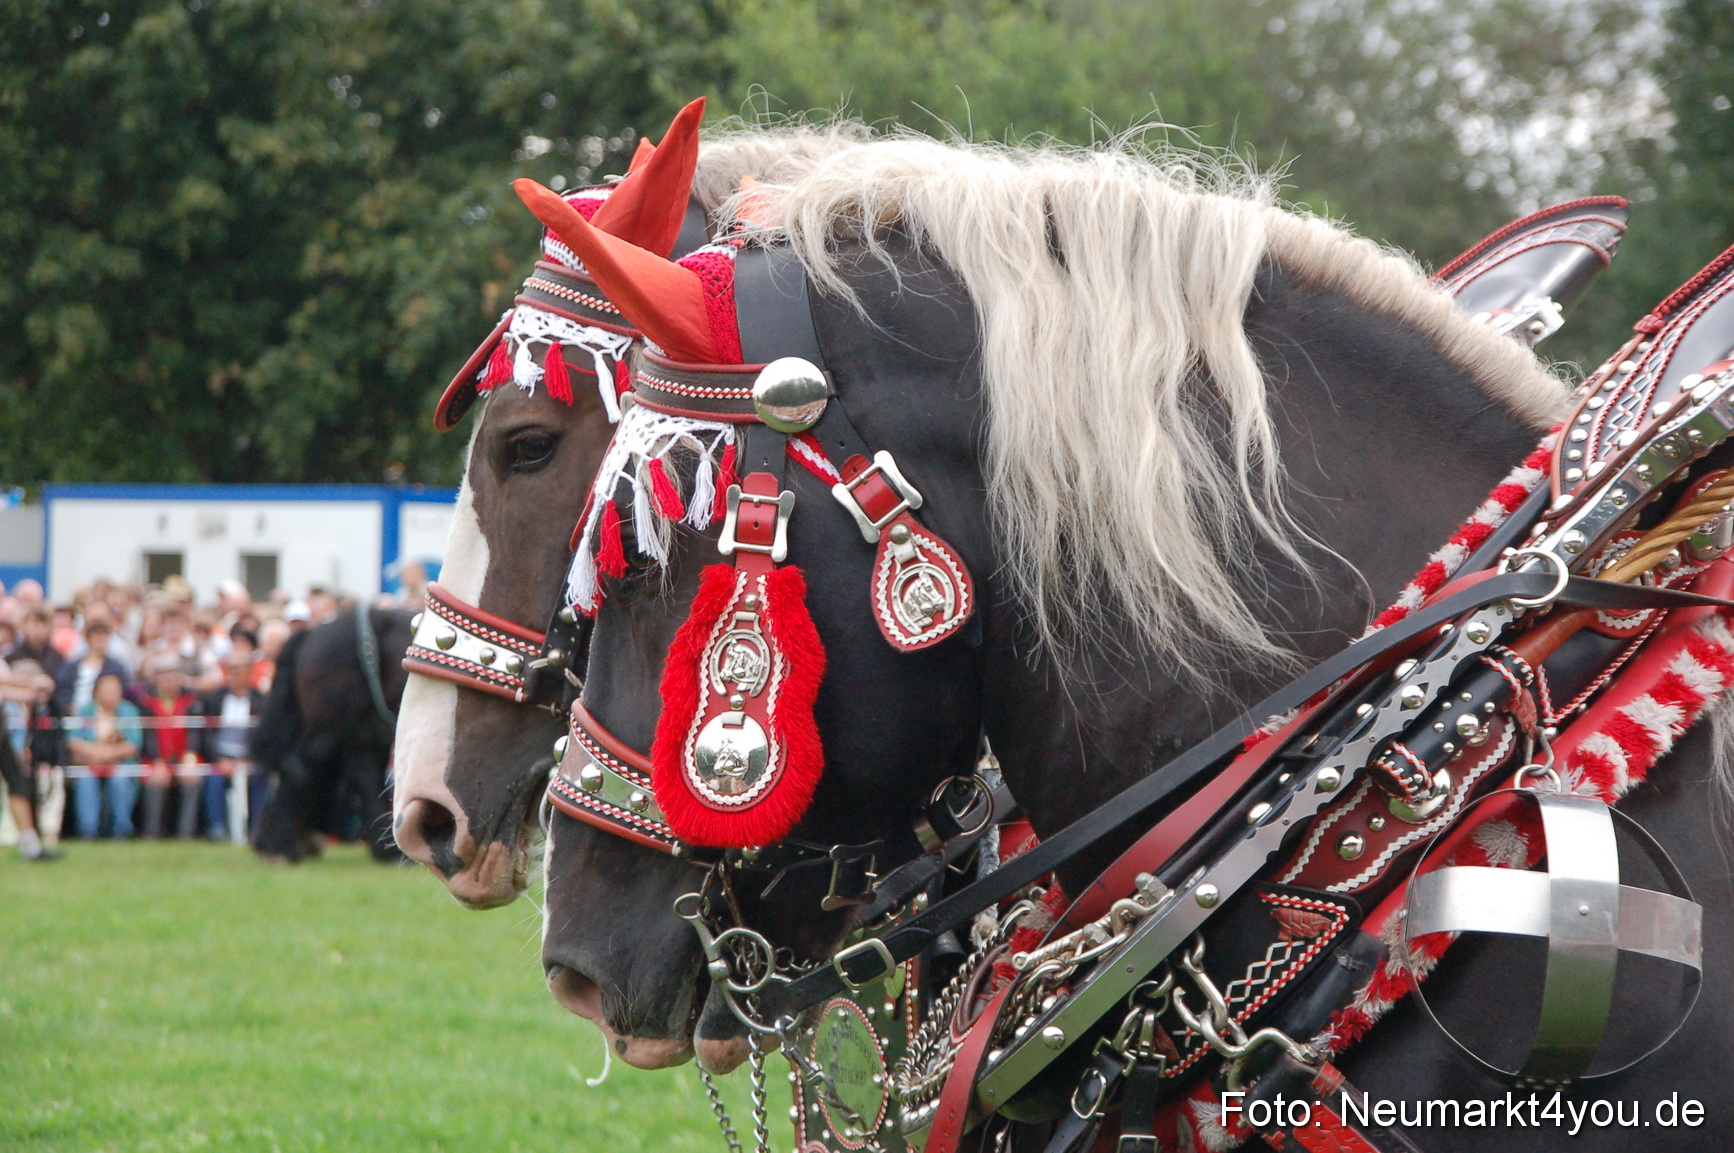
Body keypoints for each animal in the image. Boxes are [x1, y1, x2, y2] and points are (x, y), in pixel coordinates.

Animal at [251, 605, 414, 862]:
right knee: (302, 769)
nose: (257, 841)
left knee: (363, 777)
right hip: (331, 729)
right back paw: (284, 846)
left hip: (363, 731)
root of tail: (312, 633)